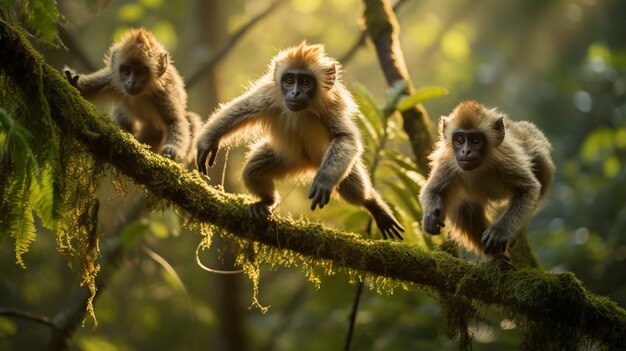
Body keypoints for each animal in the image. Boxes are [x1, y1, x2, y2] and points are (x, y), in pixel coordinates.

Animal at [62, 27, 199, 165]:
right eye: (126, 71)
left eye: (140, 73)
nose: (131, 82)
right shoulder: (111, 80)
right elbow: (82, 91)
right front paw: (73, 82)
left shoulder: (164, 91)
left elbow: (175, 121)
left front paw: (173, 150)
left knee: (191, 119)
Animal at [196, 42, 404, 241]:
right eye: (289, 81)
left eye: (305, 82)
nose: (295, 93)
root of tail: (307, 164)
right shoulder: (269, 96)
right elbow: (240, 110)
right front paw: (208, 141)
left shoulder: (332, 107)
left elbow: (345, 137)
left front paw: (323, 180)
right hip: (286, 159)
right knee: (253, 170)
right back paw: (267, 202)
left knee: (352, 185)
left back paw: (372, 203)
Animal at [416, 100, 552, 266]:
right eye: (460, 140)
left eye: (476, 140)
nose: (466, 152)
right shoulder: (447, 162)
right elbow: (432, 190)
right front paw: (430, 217)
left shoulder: (506, 158)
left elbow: (529, 189)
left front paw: (499, 232)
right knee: (464, 207)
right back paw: (497, 258)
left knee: (539, 157)